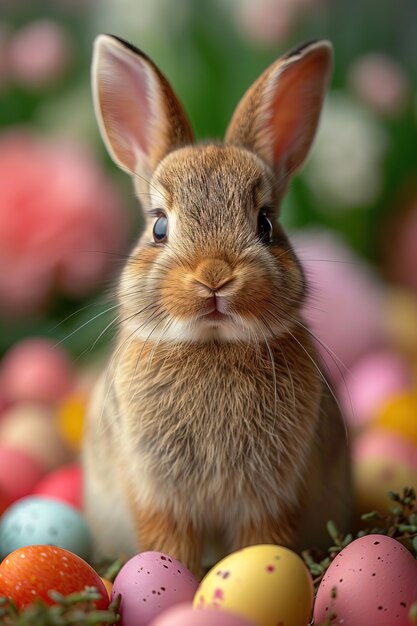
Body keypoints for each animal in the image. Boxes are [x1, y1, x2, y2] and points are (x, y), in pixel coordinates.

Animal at [83, 33, 352, 572]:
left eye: (265, 224)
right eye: (158, 227)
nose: (214, 276)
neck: (212, 344)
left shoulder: (273, 497)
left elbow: (260, 545)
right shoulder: (157, 494)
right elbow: (169, 548)